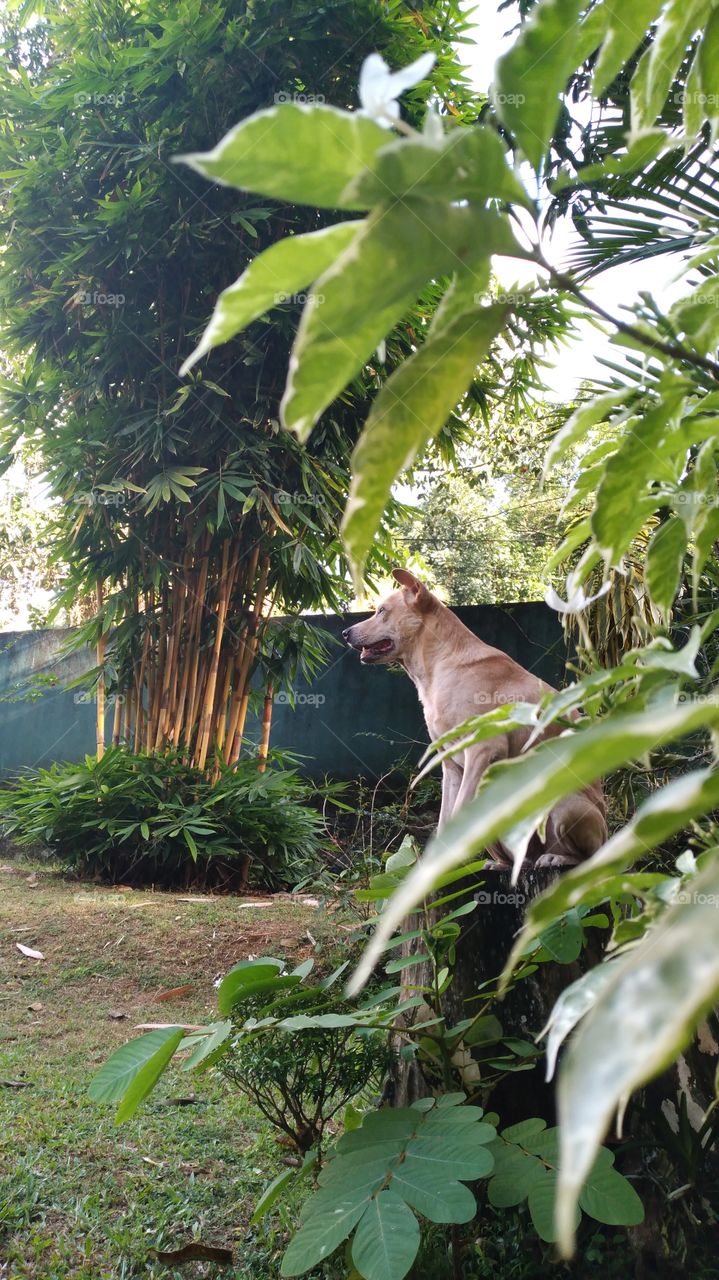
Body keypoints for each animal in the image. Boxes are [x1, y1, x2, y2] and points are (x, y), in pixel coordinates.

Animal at [340, 570, 603, 870]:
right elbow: (445, 820)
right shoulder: (452, 766)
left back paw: (555, 857)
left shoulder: (483, 750)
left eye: (382, 611)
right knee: (520, 859)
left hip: (563, 803)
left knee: (587, 858)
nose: (345, 633)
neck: (438, 665)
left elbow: (458, 813)